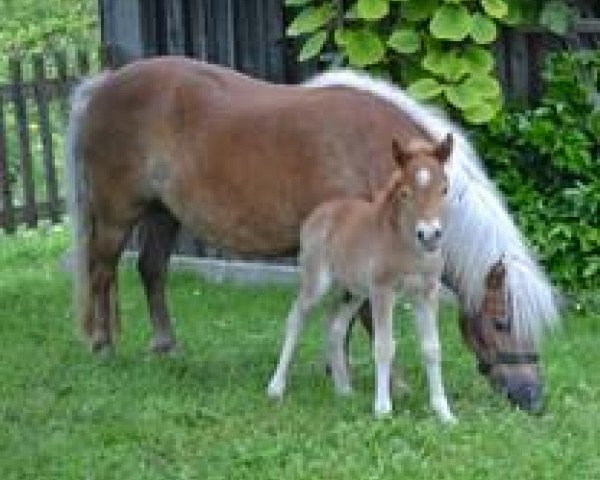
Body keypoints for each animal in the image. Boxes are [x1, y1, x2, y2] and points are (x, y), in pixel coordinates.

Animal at [268, 133, 454, 422]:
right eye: (405, 193)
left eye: (444, 189)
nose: (430, 234)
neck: (408, 247)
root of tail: (320, 211)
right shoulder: (382, 291)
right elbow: (384, 346)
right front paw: (383, 409)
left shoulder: (426, 293)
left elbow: (432, 348)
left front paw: (444, 412)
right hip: (317, 283)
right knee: (296, 319)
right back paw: (276, 387)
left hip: (352, 292)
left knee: (335, 328)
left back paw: (344, 390)